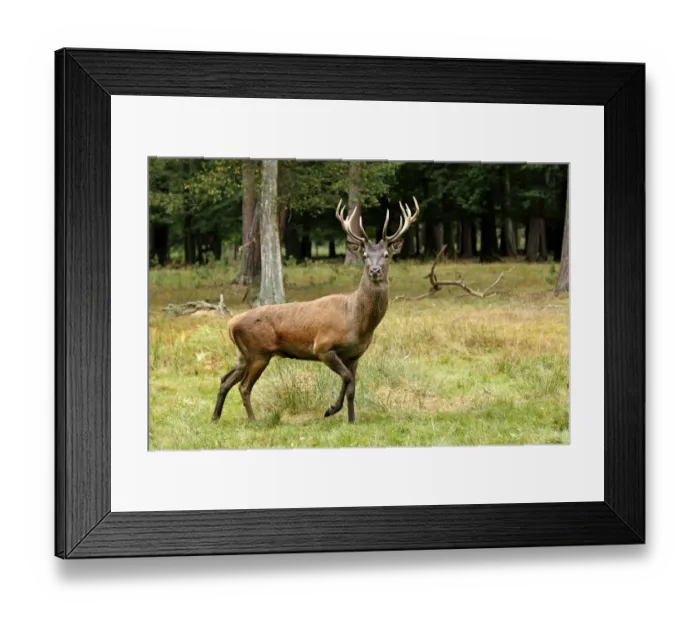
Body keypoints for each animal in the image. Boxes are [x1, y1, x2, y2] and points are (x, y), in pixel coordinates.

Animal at [211, 196, 420, 425]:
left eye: (386, 255)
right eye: (365, 255)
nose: (375, 270)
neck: (357, 320)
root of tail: (231, 323)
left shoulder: (355, 355)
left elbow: (351, 387)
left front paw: (351, 419)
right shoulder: (322, 346)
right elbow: (347, 378)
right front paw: (331, 409)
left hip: (243, 354)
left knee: (224, 380)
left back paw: (215, 417)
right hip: (259, 352)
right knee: (243, 386)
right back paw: (253, 420)